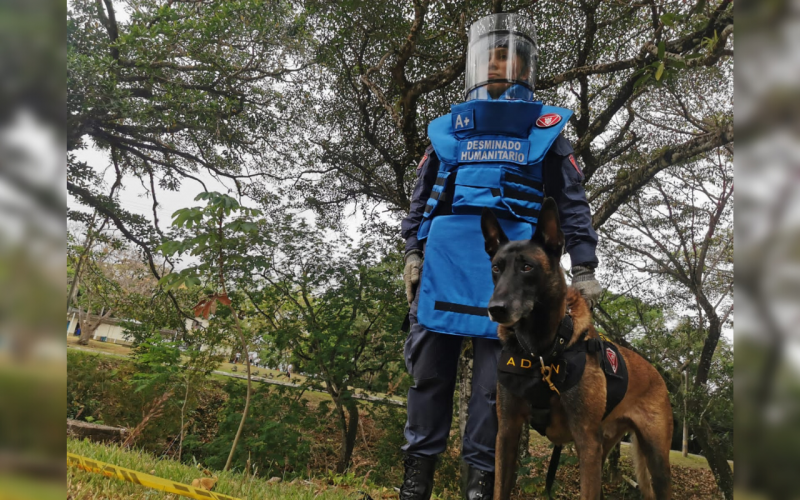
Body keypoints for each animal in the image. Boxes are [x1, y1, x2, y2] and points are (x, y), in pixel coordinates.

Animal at [484, 200, 672, 500]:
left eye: (527, 267)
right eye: (496, 268)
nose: (496, 309)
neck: (541, 351)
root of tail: (656, 373)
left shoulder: (585, 440)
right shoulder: (507, 433)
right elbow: (500, 488)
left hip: (654, 459)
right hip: (603, 447)